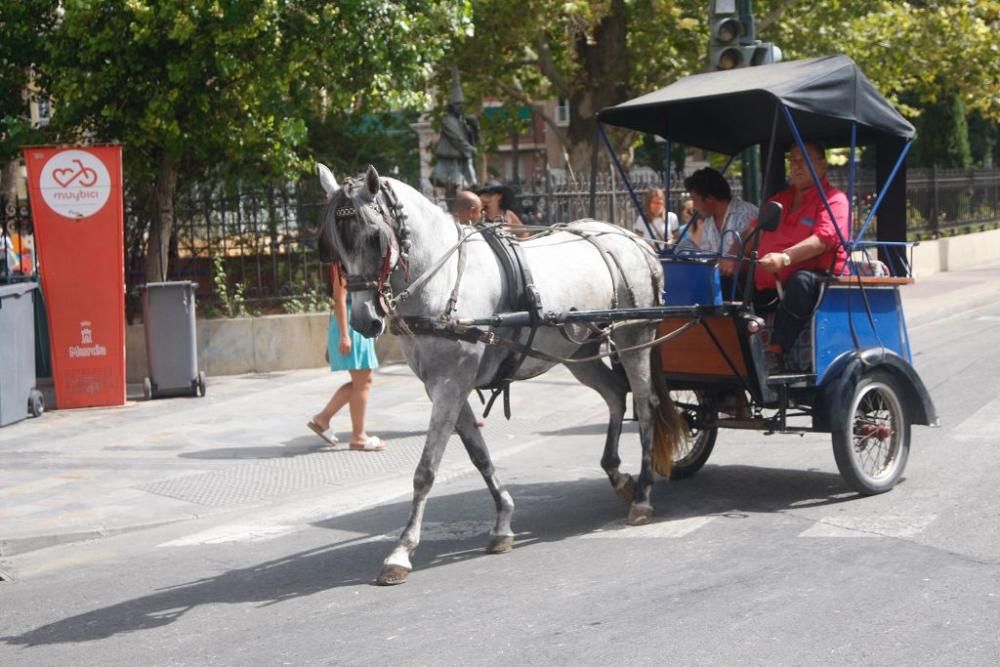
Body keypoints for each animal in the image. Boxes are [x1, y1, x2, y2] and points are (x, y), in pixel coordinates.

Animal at [316, 163, 684, 584]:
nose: (363, 321)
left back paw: (642, 496)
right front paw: (503, 522)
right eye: (332, 246)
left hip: (634, 336)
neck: (442, 280)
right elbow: (479, 456)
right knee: (614, 394)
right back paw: (617, 474)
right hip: (579, 352)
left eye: (376, 237)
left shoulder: (451, 384)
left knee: (645, 403)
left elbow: (426, 469)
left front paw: (401, 551)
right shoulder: (444, 387)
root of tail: (635, 241)